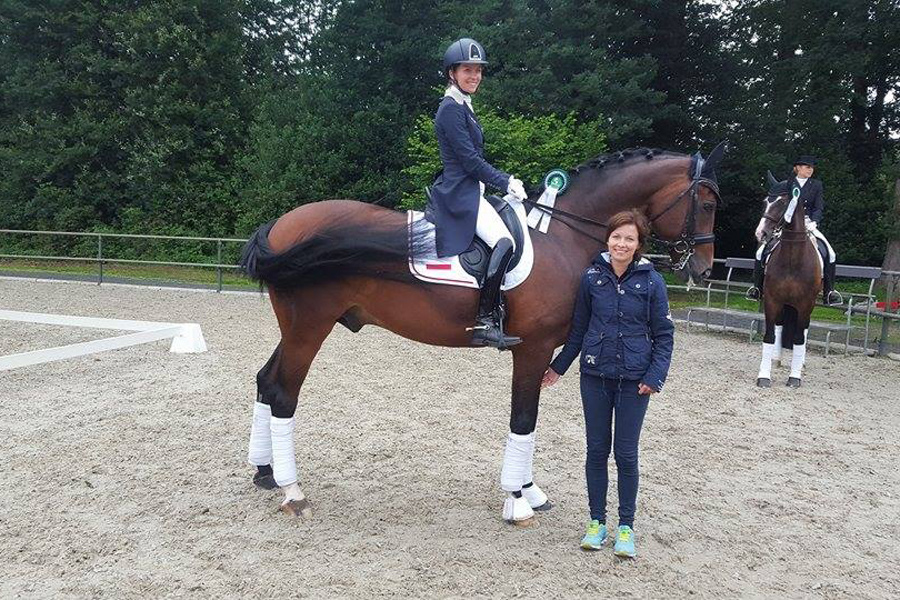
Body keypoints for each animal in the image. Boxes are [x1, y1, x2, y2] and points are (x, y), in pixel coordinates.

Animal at [239, 144, 726, 524]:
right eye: (707, 204)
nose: (703, 270)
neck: (562, 235)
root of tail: (281, 225)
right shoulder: (533, 348)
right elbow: (524, 419)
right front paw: (517, 500)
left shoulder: (542, 351)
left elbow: (529, 420)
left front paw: (529, 491)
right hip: (309, 328)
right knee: (283, 392)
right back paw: (293, 491)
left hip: (298, 328)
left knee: (265, 380)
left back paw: (265, 472)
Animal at [754, 172, 822, 388]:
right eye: (765, 202)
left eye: (783, 202)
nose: (761, 233)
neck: (793, 259)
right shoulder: (772, 300)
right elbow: (769, 335)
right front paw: (764, 376)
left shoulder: (806, 304)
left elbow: (799, 339)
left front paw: (794, 377)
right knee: (780, 325)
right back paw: (777, 359)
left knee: (804, 331)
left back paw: (801, 365)